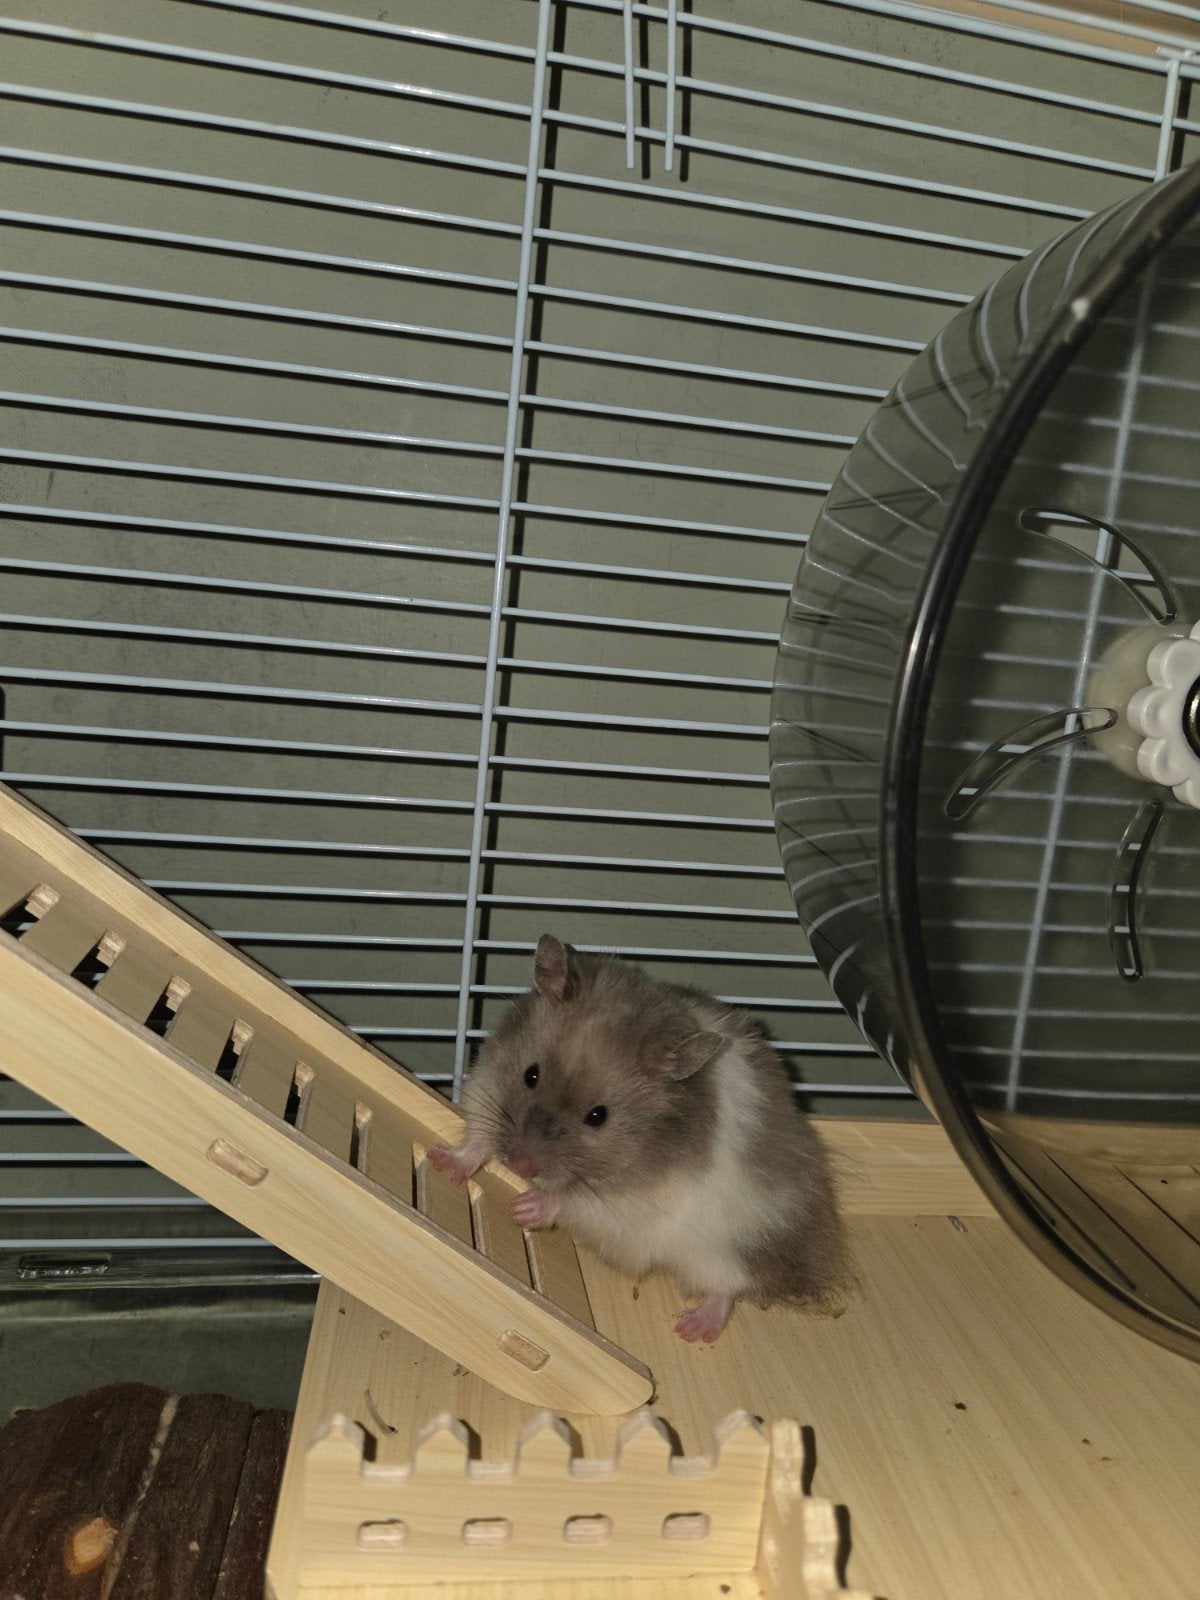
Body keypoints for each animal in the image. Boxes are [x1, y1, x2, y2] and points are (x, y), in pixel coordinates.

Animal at [430, 934, 851, 1343]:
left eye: (598, 1117)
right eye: (530, 1075)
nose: (519, 1165)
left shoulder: (632, 1208)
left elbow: (574, 1203)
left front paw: (524, 1208)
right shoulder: (487, 1085)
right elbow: (478, 1139)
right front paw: (444, 1164)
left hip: (724, 1248)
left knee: (729, 1287)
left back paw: (693, 1329)